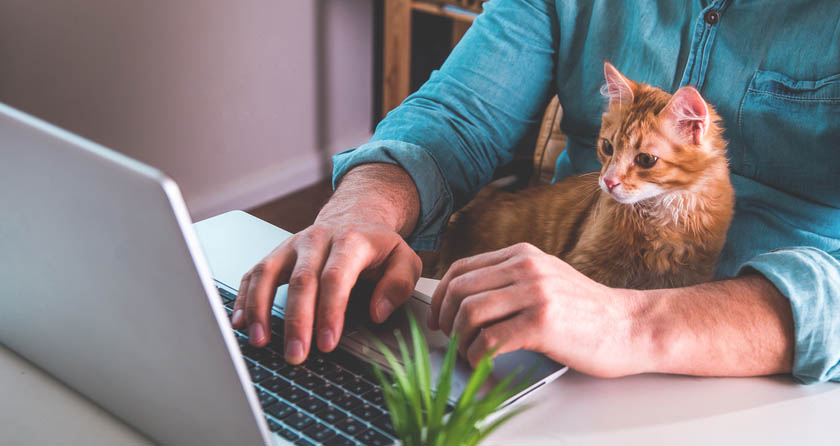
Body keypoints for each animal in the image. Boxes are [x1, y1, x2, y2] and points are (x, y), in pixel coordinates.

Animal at [434, 61, 736, 290]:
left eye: (646, 160)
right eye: (607, 147)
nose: (609, 182)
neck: (664, 219)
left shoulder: (687, 276)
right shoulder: (586, 264)